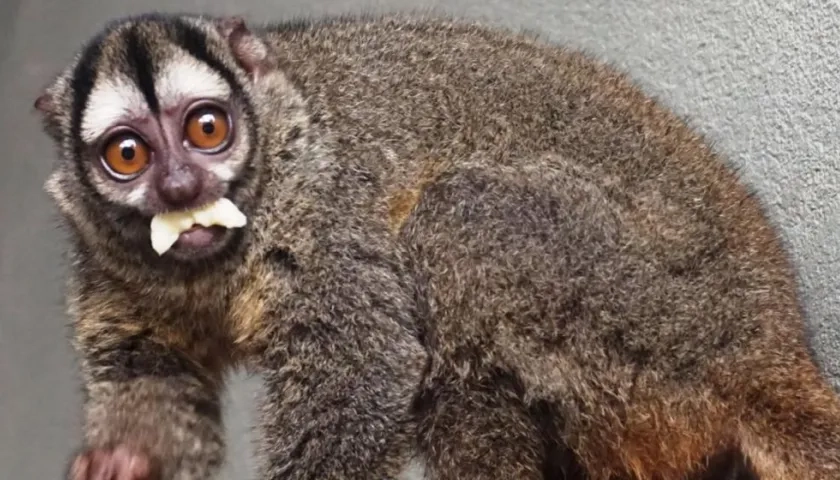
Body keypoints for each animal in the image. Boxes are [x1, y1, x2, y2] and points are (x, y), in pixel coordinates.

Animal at [33, 10, 840, 480]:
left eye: (207, 129)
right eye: (128, 154)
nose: (178, 187)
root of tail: (770, 350)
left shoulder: (321, 212)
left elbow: (365, 362)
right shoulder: (105, 262)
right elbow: (151, 375)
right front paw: (123, 460)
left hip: (664, 319)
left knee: (449, 222)